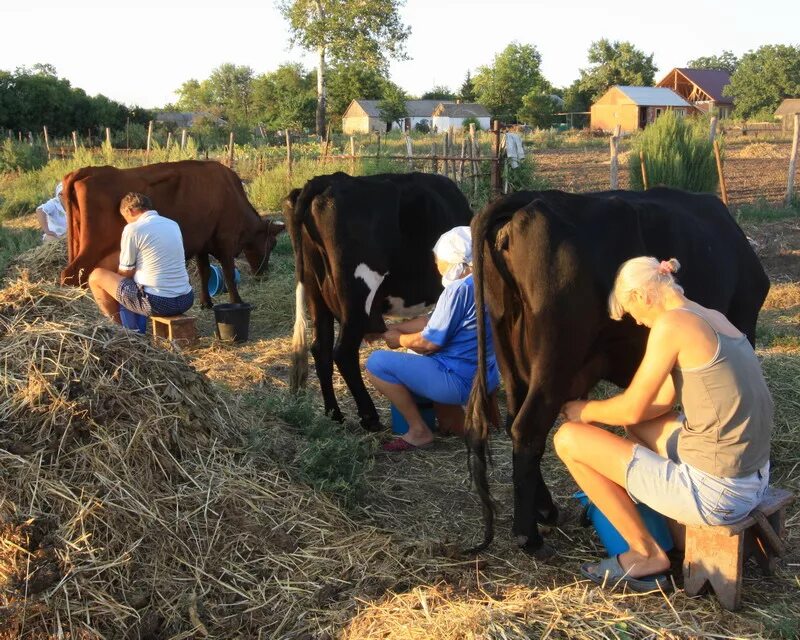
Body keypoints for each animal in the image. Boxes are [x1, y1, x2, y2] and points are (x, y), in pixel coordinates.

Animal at [60, 161, 284, 308]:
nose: (262, 274)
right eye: (272, 244)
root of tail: (86, 170)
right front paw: (237, 302)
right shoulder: (225, 239)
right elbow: (229, 273)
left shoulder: (202, 243)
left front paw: (206, 303)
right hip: (92, 248)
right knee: (70, 275)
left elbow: (204, 272)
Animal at [284, 171, 476, 430]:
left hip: (316, 292)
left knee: (321, 349)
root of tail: (326, 180)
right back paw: (369, 417)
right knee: (343, 352)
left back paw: (334, 414)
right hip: (357, 294)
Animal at [466, 188, 772, 556]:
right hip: (556, 355)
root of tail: (529, 200)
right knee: (528, 429)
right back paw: (528, 536)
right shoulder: (743, 318)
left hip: (509, 351)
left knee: (515, 421)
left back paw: (546, 510)